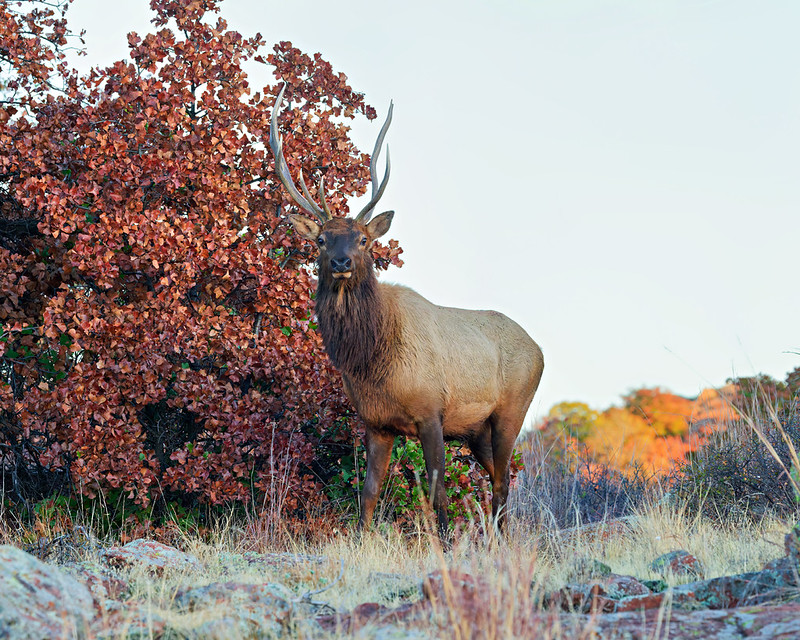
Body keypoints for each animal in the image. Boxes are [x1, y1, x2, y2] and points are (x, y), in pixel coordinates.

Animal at [269, 85, 544, 537]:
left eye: (363, 239)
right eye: (322, 239)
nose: (342, 262)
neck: (372, 360)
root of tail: (539, 349)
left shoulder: (432, 411)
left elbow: (437, 494)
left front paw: (446, 543)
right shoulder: (376, 422)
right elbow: (367, 493)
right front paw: (363, 541)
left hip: (512, 409)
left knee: (504, 480)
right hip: (475, 430)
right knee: (497, 479)